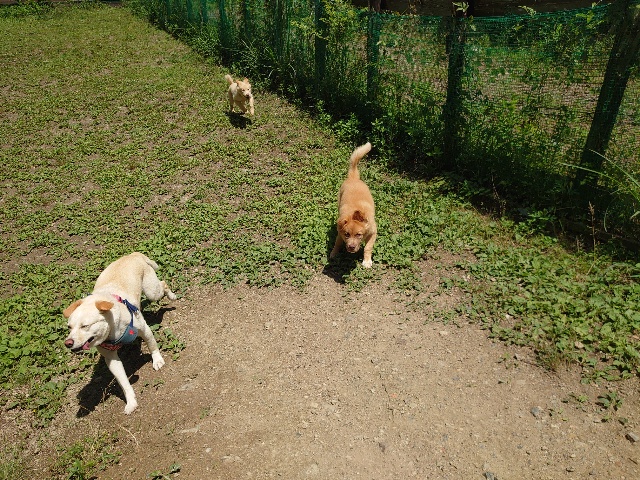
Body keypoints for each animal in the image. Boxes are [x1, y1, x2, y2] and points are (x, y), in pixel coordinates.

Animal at [63, 252, 177, 414]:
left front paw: (157, 360)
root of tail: (133, 254)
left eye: (85, 326)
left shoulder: (144, 329)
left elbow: (152, 345)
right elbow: (123, 382)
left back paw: (172, 296)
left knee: (163, 284)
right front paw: (131, 402)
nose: (68, 343)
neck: (112, 330)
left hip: (152, 291)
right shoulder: (111, 359)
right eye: (69, 327)